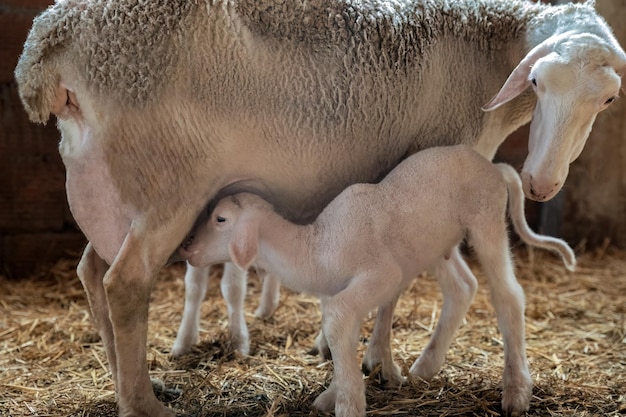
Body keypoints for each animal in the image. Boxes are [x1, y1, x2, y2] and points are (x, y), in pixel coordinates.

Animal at [182, 144, 576, 416]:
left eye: (220, 219)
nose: (187, 248)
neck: (313, 247)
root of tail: (493, 166)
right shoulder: (343, 290)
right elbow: (338, 333)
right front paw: (335, 391)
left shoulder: (380, 276)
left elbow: (337, 322)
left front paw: (347, 402)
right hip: (437, 244)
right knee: (463, 287)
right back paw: (425, 367)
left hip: (486, 220)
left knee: (508, 295)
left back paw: (516, 391)